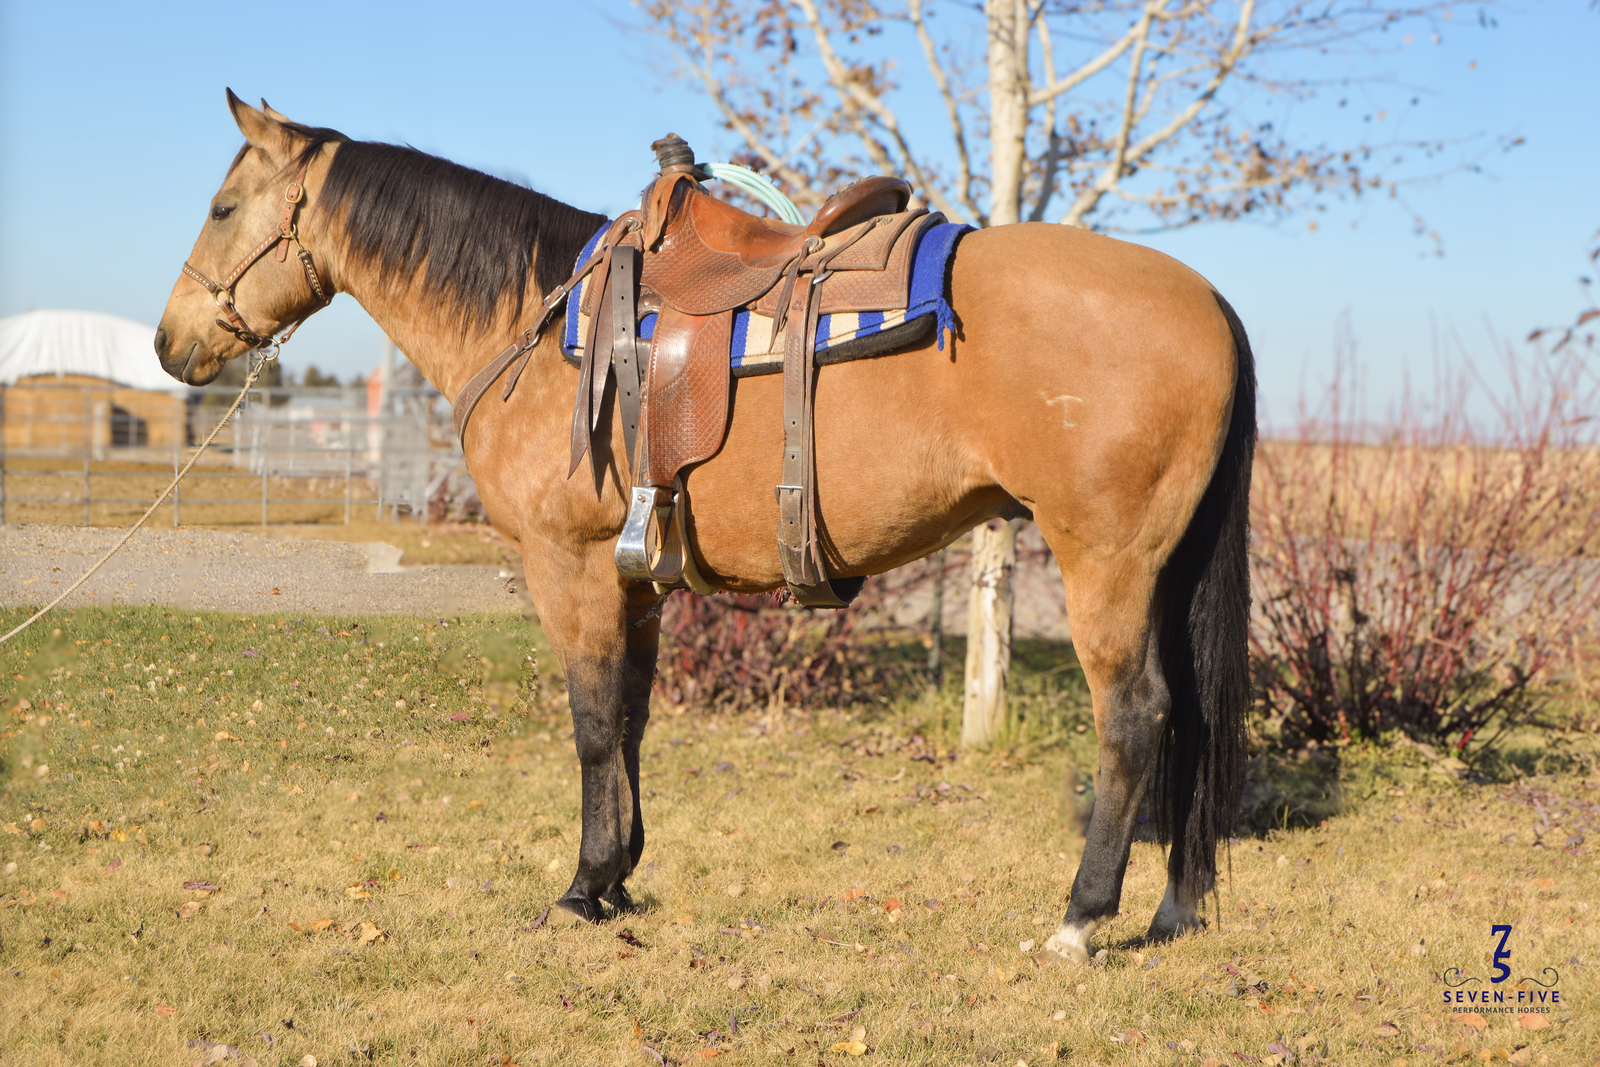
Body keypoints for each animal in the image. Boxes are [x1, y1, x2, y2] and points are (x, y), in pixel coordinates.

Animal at [155, 91, 1255, 965]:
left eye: (221, 208)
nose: (171, 343)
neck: (530, 320)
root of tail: (1209, 299)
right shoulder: (635, 579)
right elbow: (632, 719)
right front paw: (619, 878)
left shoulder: (570, 567)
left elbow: (592, 721)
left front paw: (581, 886)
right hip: (1165, 568)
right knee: (1193, 716)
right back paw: (1173, 907)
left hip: (1104, 560)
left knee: (1136, 716)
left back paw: (1081, 917)